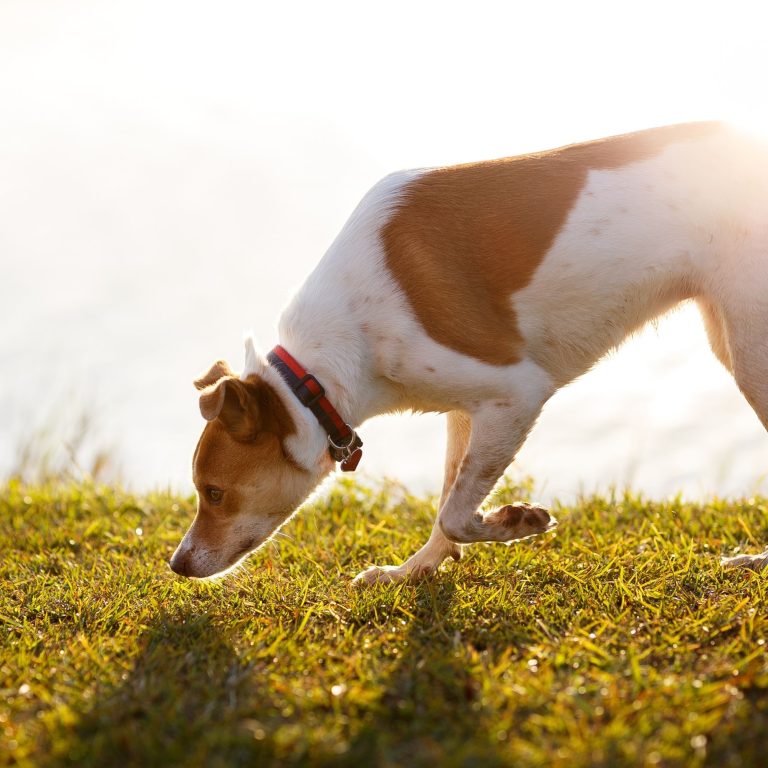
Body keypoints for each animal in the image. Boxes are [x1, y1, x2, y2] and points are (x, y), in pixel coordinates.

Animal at [171, 123, 768, 584]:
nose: (176, 564)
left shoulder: (517, 394)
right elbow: (447, 501)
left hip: (750, 351)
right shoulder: (467, 409)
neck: (319, 374)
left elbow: (457, 513)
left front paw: (518, 521)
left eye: (214, 493)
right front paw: (412, 571)